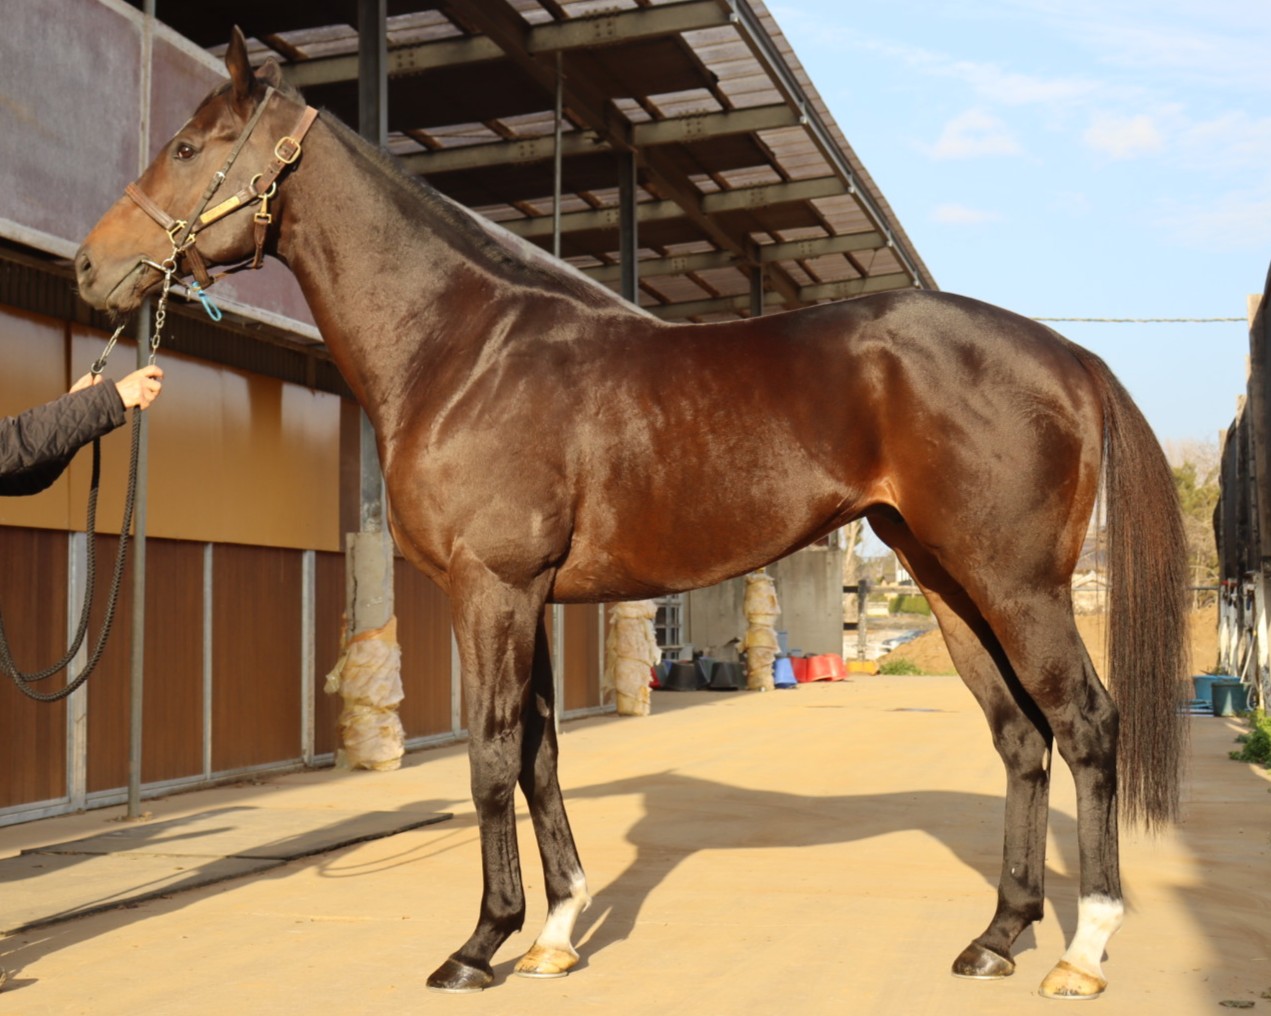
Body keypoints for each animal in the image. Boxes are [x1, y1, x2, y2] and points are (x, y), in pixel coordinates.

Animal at [74, 29, 1188, 999]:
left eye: (186, 146)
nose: (92, 268)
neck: (460, 349)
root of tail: (1067, 352)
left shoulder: (491, 589)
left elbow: (490, 756)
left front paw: (479, 945)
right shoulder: (527, 597)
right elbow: (538, 754)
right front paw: (555, 933)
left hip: (1014, 583)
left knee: (1084, 724)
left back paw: (1080, 949)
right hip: (949, 581)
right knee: (1019, 736)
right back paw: (997, 936)